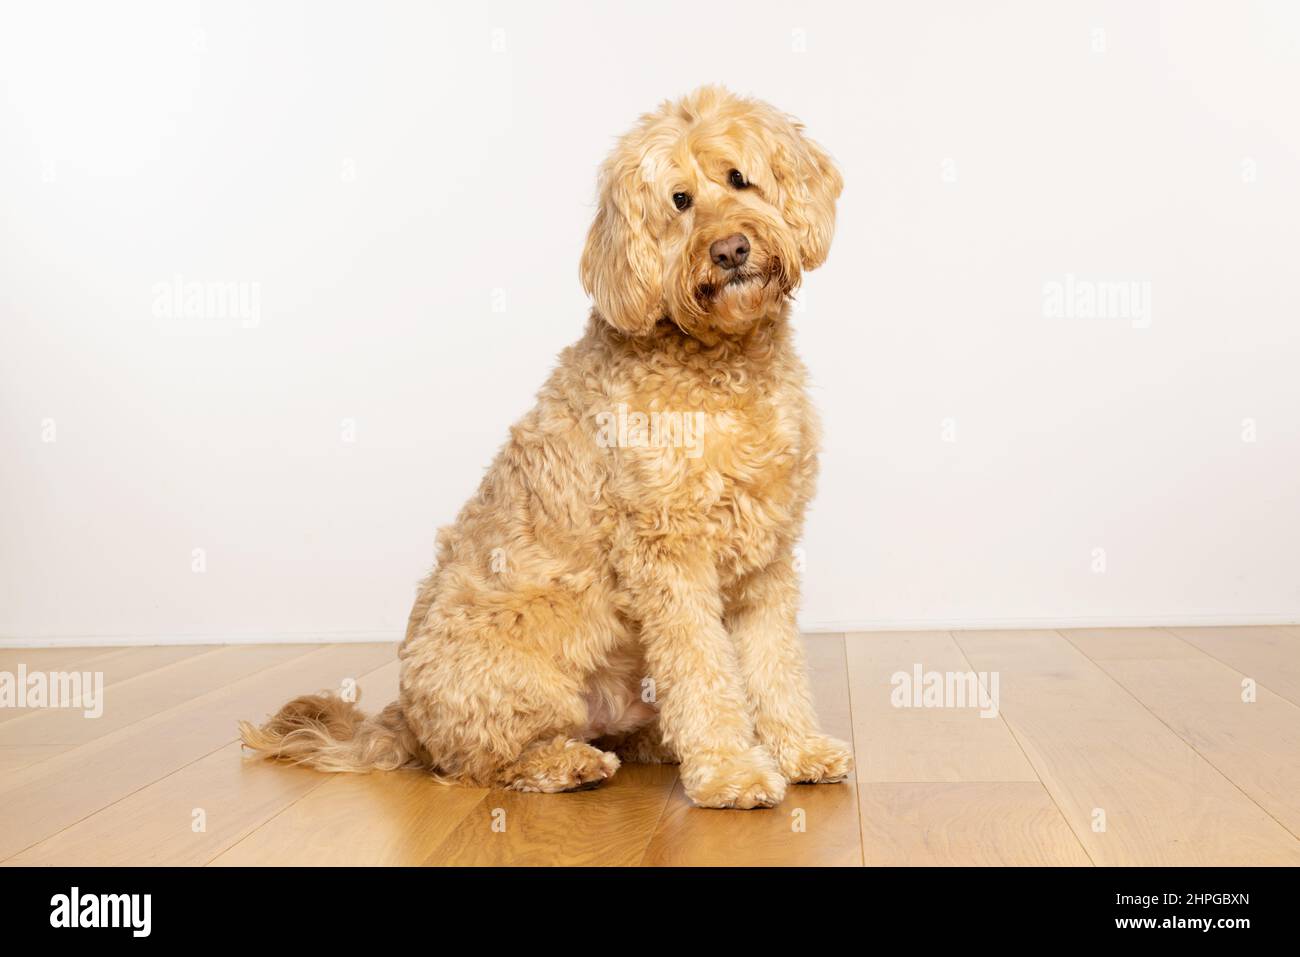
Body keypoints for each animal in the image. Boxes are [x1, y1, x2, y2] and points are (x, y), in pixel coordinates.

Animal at [243, 83, 852, 806]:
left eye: (739, 178)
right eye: (678, 200)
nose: (730, 250)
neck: (722, 364)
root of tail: (405, 718)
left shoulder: (767, 555)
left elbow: (773, 664)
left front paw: (797, 748)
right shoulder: (668, 556)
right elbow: (704, 669)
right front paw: (732, 771)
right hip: (519, 676)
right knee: (481, 762)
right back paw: (566, 762)